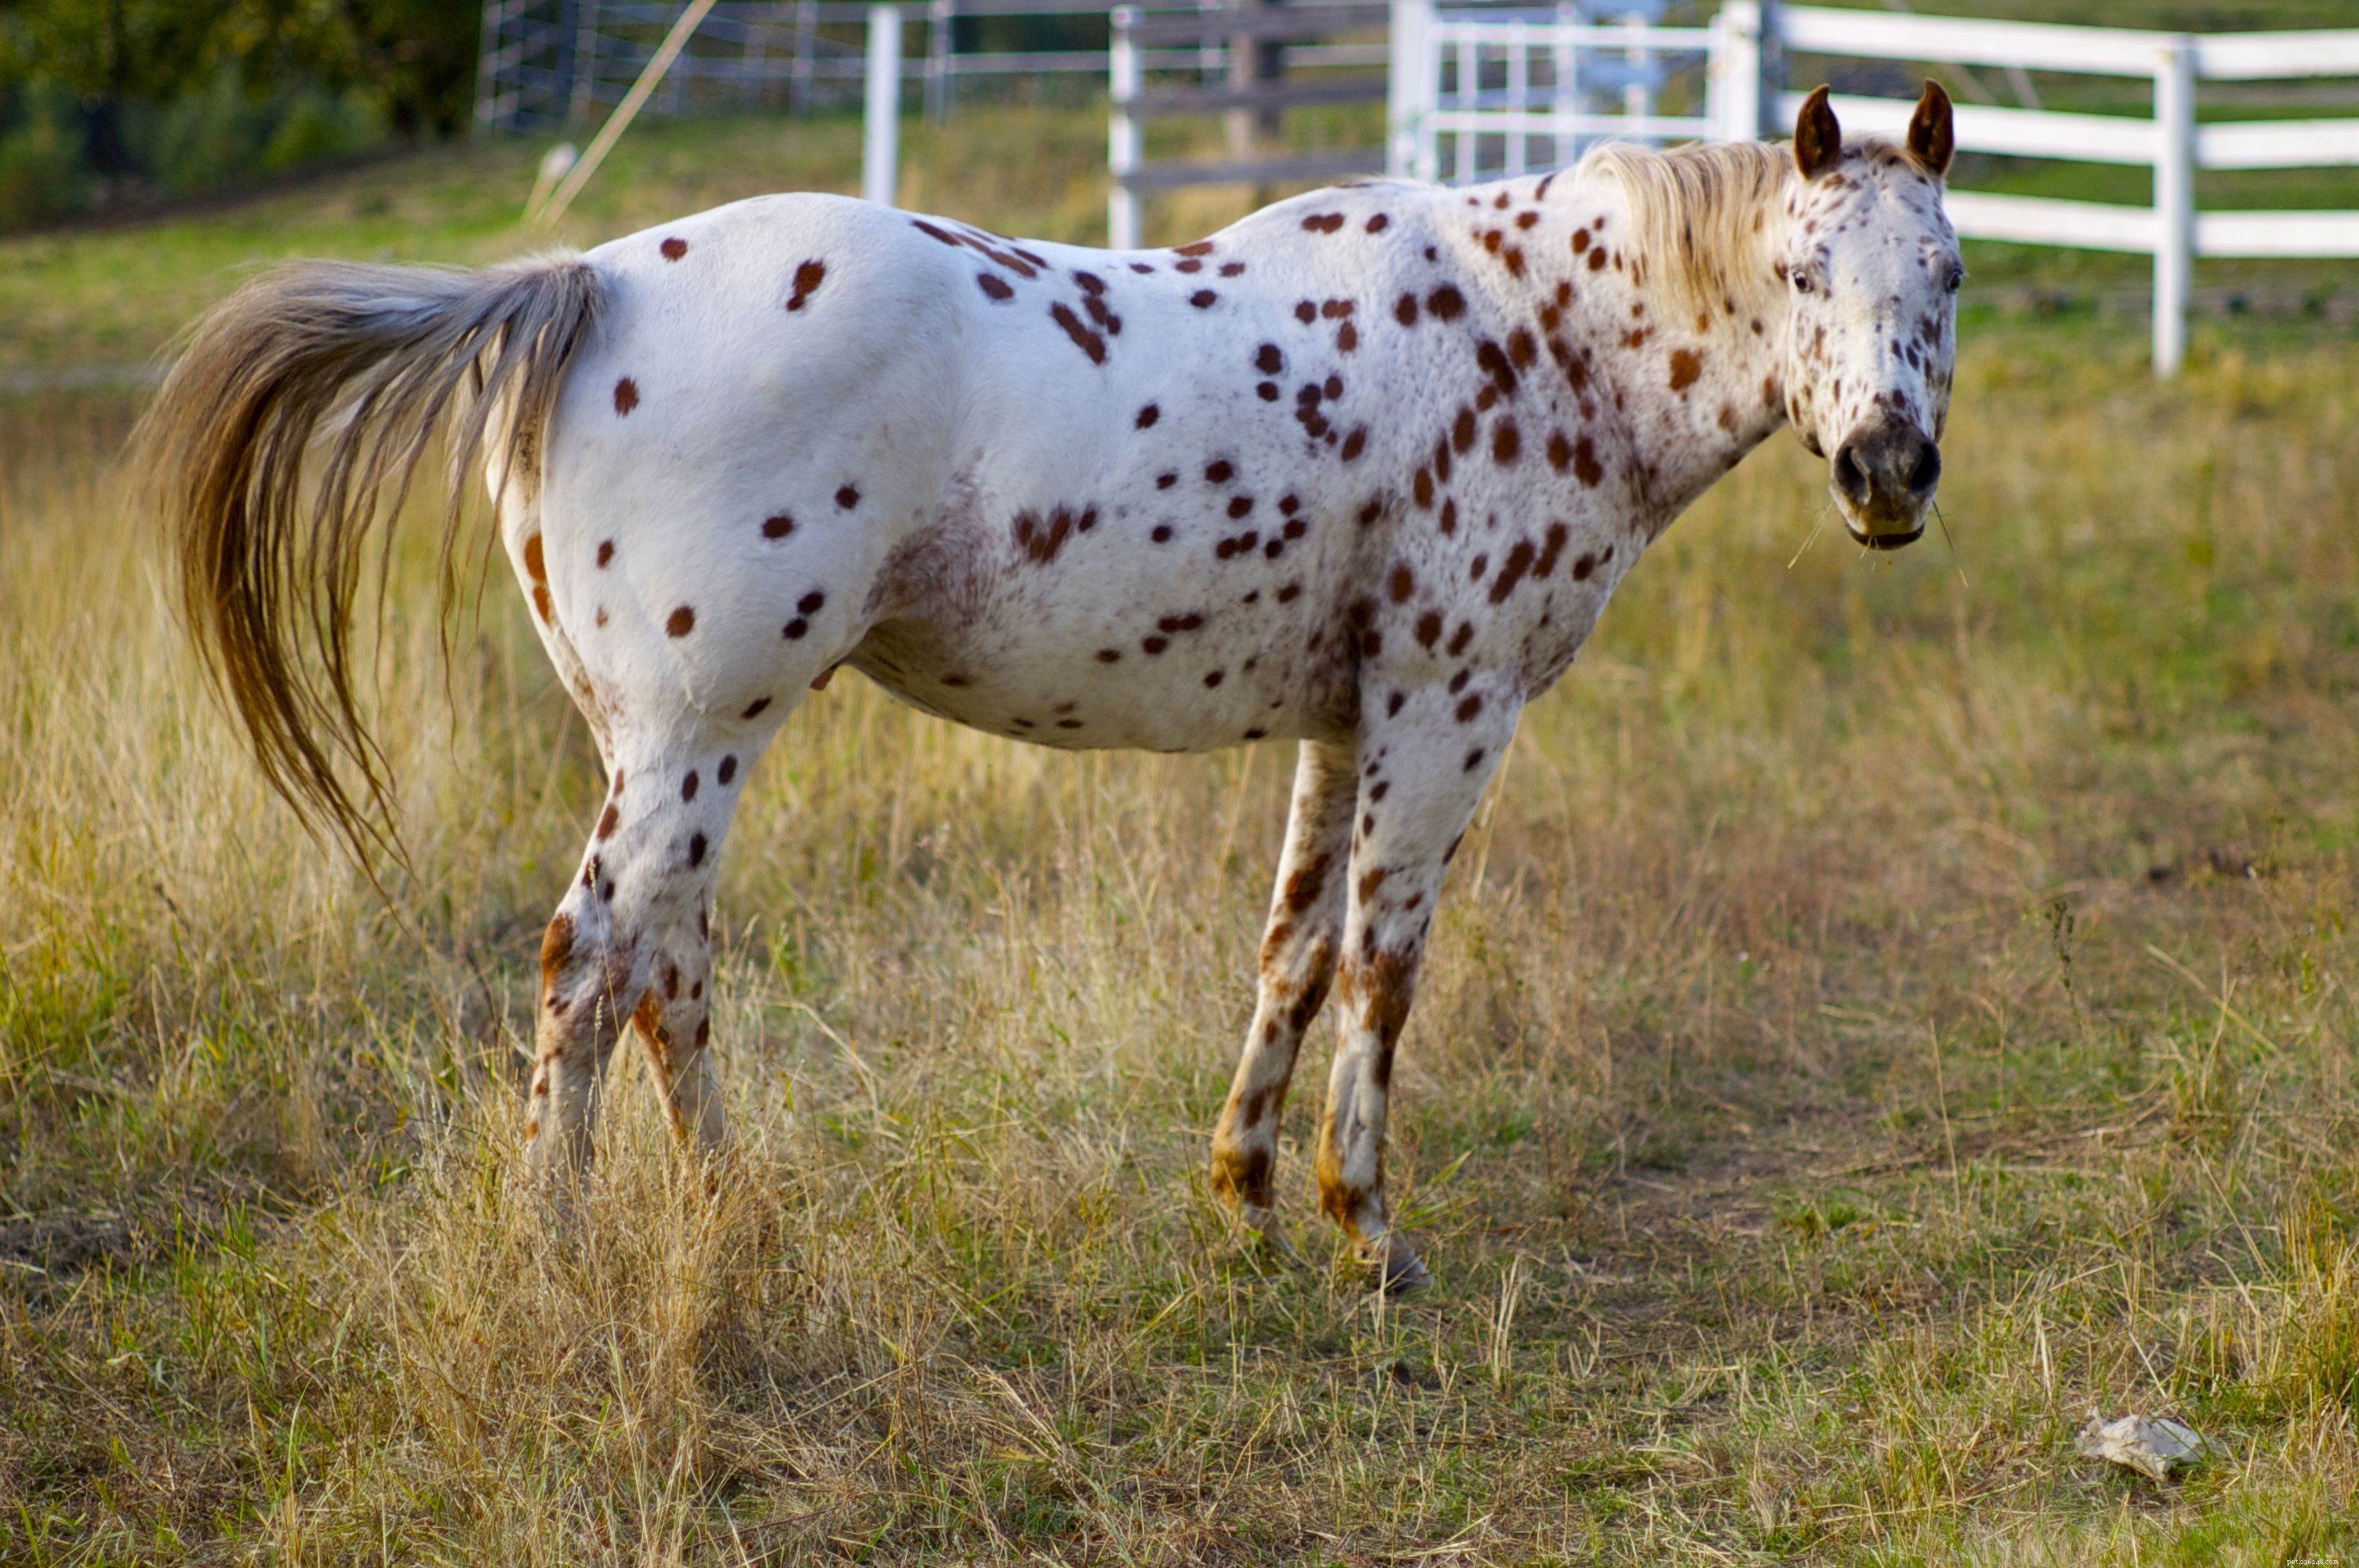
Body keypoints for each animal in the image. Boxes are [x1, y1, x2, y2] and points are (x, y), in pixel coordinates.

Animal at [136, 83, 1959, 1289]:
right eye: (1804, 275)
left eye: (1939, 276)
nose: (1885, 473)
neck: (1532, 335)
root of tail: (589, 284)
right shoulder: (1448, 713)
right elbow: (1385, 971)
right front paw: (1367, 1234)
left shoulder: (1341, 722)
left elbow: (1293, 952)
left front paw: (1243, 1191)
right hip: (693, 737)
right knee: (592, 964)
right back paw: (554, 1250)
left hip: (666, 750)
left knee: (667, 971)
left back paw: (736, 1217)